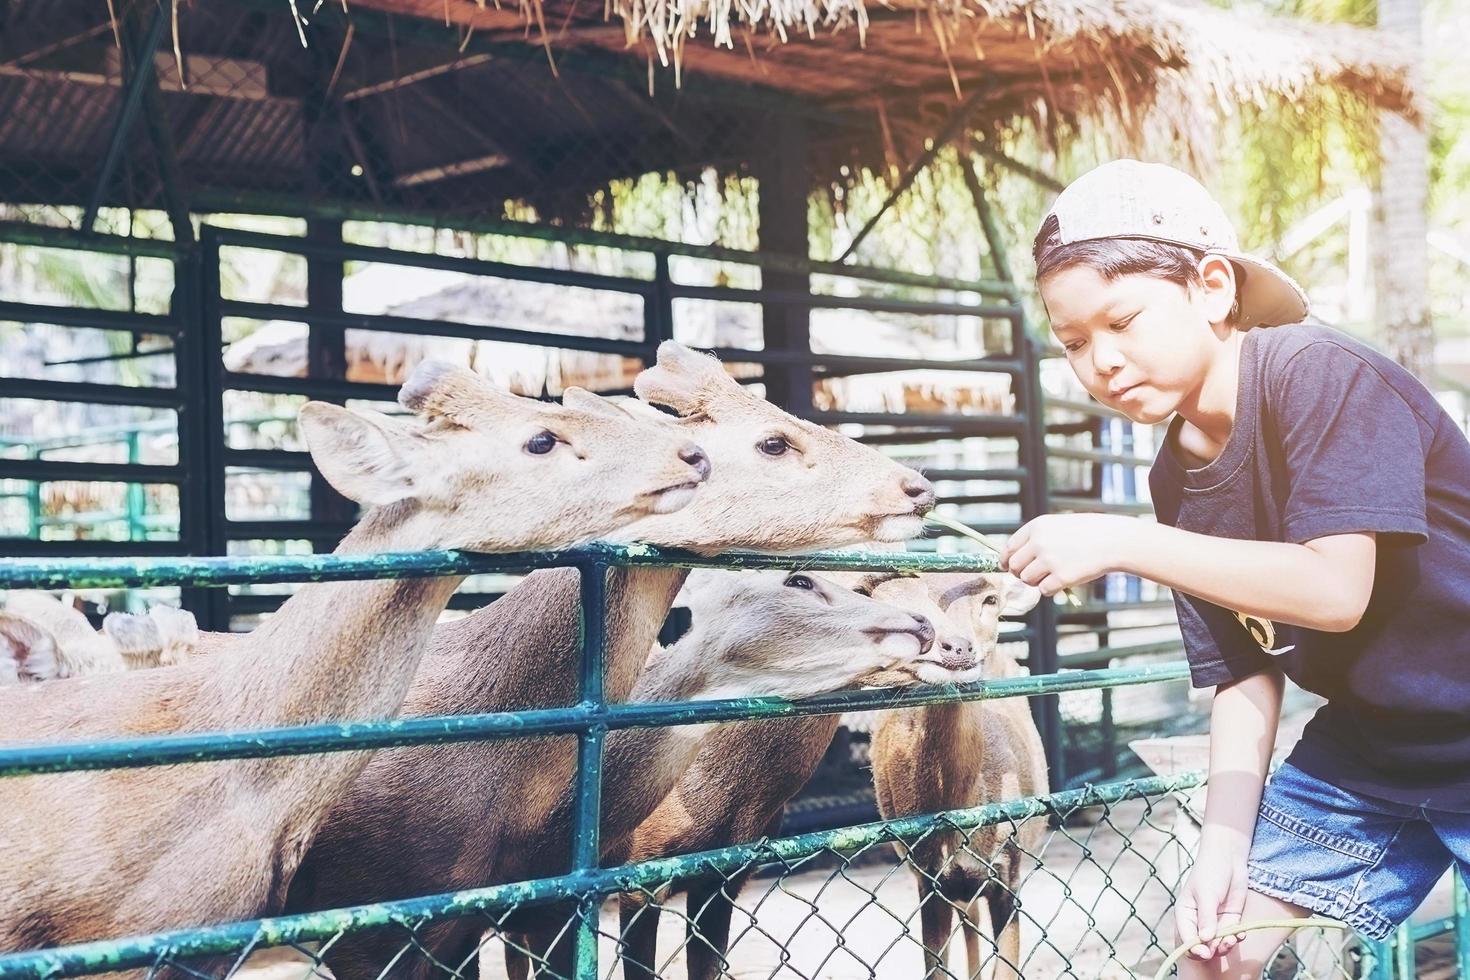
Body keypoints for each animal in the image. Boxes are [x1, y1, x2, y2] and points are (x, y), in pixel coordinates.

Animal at [864, 570, 1052, 980]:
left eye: (990, 599)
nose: (959, 648)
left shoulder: (1009, 873)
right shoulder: (929, 879)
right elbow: (936, 966)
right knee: (970, 922)